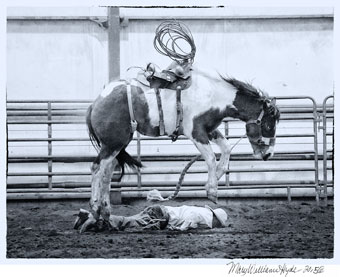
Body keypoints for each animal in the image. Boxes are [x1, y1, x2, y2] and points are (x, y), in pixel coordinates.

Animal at [79, 66, 278, 231]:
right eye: (269, 125)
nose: (268, 154)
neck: (213, 95)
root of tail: (95, 103)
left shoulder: (210, 130)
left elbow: (227, 148)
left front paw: (218, 175)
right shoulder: (196, 131)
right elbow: (211, 157)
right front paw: (212, 191)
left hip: (117, 144)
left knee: (107, 172)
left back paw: (106, 213)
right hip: (113, 143)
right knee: (97, 168)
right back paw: (95, 207)